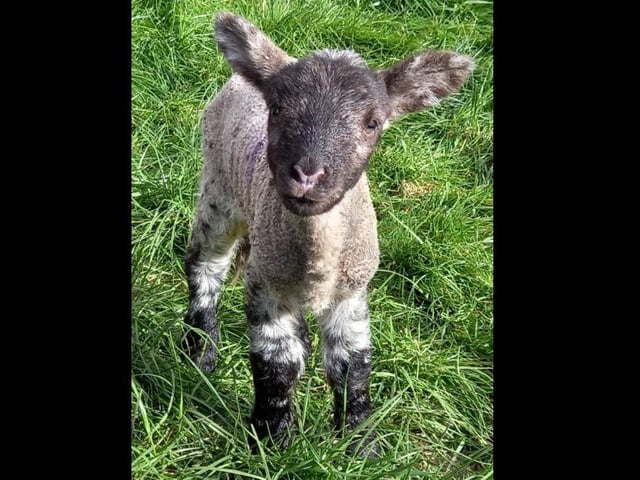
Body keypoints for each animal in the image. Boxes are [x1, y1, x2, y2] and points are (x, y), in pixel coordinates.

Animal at [183, 11, 474, 457]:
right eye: (276, 110)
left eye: (373, 123)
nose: (307, 175)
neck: (319, 261)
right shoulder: (266, 282)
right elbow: (276, 363)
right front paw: (273, 440)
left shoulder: (352, 290)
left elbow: (352, 364)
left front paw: (360, 444)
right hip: (217, 187)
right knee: (206, 266)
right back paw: (200, 353)